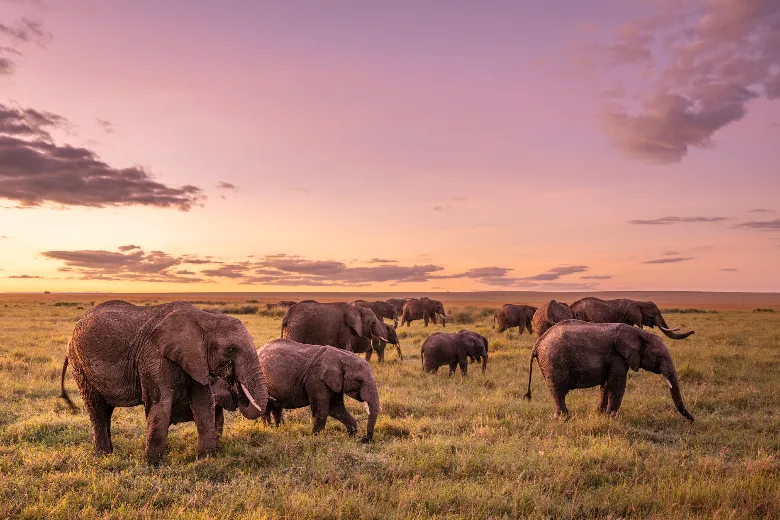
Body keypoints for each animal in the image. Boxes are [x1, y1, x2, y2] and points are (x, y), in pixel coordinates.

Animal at [60, 300, 268, 465]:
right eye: (232, 349)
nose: (235, 383)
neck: (202, 317)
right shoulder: (153, 357)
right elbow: (161, 405)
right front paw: (153, 466)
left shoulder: (195, 359)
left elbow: (204, 405)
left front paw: (207, 460)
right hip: (80, 364)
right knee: (97, 409)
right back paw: (102, 456)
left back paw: (108, 454)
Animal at [524, 320, 694, 422]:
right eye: (658, 356)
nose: (693, 420)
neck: (638, 333)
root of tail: (537, 344)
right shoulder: (617, 356)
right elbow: (617, 385)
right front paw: (611, 418)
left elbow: (606, 385)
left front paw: (600, 414)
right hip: (554, 360)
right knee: (558, 391)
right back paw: (564, 418)